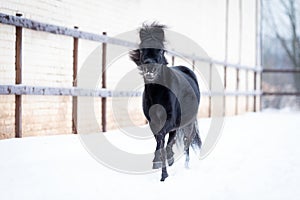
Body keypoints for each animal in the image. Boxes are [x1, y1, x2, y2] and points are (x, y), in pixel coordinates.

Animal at [129, 23, 202, 181]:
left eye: (161, 50)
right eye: (142, 49)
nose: (149, 66)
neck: (157, 92)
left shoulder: (170, 119)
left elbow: (162, 138)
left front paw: (164, 172)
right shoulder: (153, 122)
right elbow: (159, 140)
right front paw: (159, 164)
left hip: (187, 123)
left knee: (186, 142)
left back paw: (185, 165)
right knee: (172, 139)